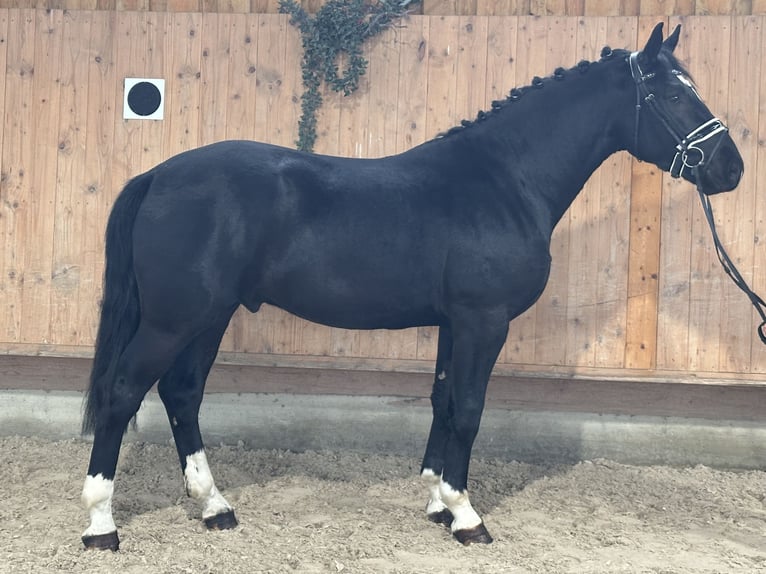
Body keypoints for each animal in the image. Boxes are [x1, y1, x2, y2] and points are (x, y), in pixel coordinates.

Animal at [82, 23, 744, 552]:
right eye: (671, 94)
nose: (731, 169)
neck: (504, 181)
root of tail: (157, 175)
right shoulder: (483, 320)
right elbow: (470, 409)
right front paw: (468, 516)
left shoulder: (455, 323)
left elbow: (443, 401)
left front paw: (436, 502)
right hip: (174, 320)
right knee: (123, 392)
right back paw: (100, 525)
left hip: (209, 317)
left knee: (182, 394)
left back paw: (214, 507)